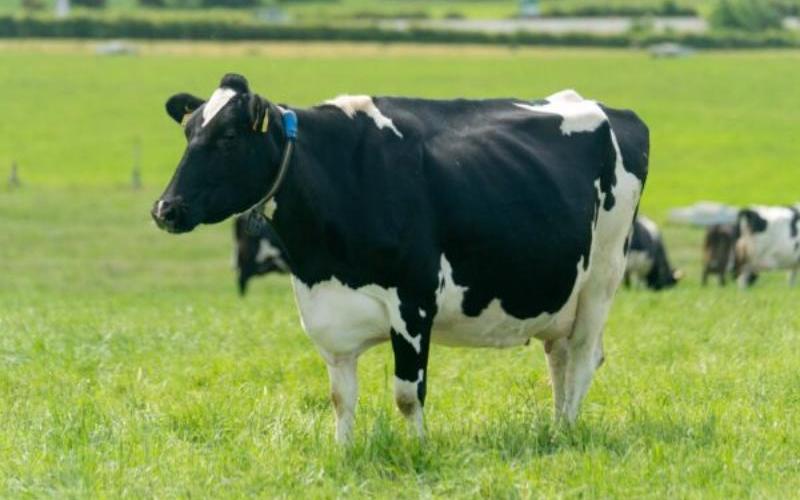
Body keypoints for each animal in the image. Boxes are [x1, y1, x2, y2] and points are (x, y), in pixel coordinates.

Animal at [151, 74, 649, 443]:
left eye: (229, 137)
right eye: (189, 132)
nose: (165, 209)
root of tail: (613, 111)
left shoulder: (413, 302)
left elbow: (408, 394)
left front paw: (419, 449)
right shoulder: (328, 311)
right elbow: (340, 397)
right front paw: (343, 452)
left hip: (603, 276)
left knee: (583, 356)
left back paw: (568, 430)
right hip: (560, 293)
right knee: (558, 358)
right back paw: (555, 428)